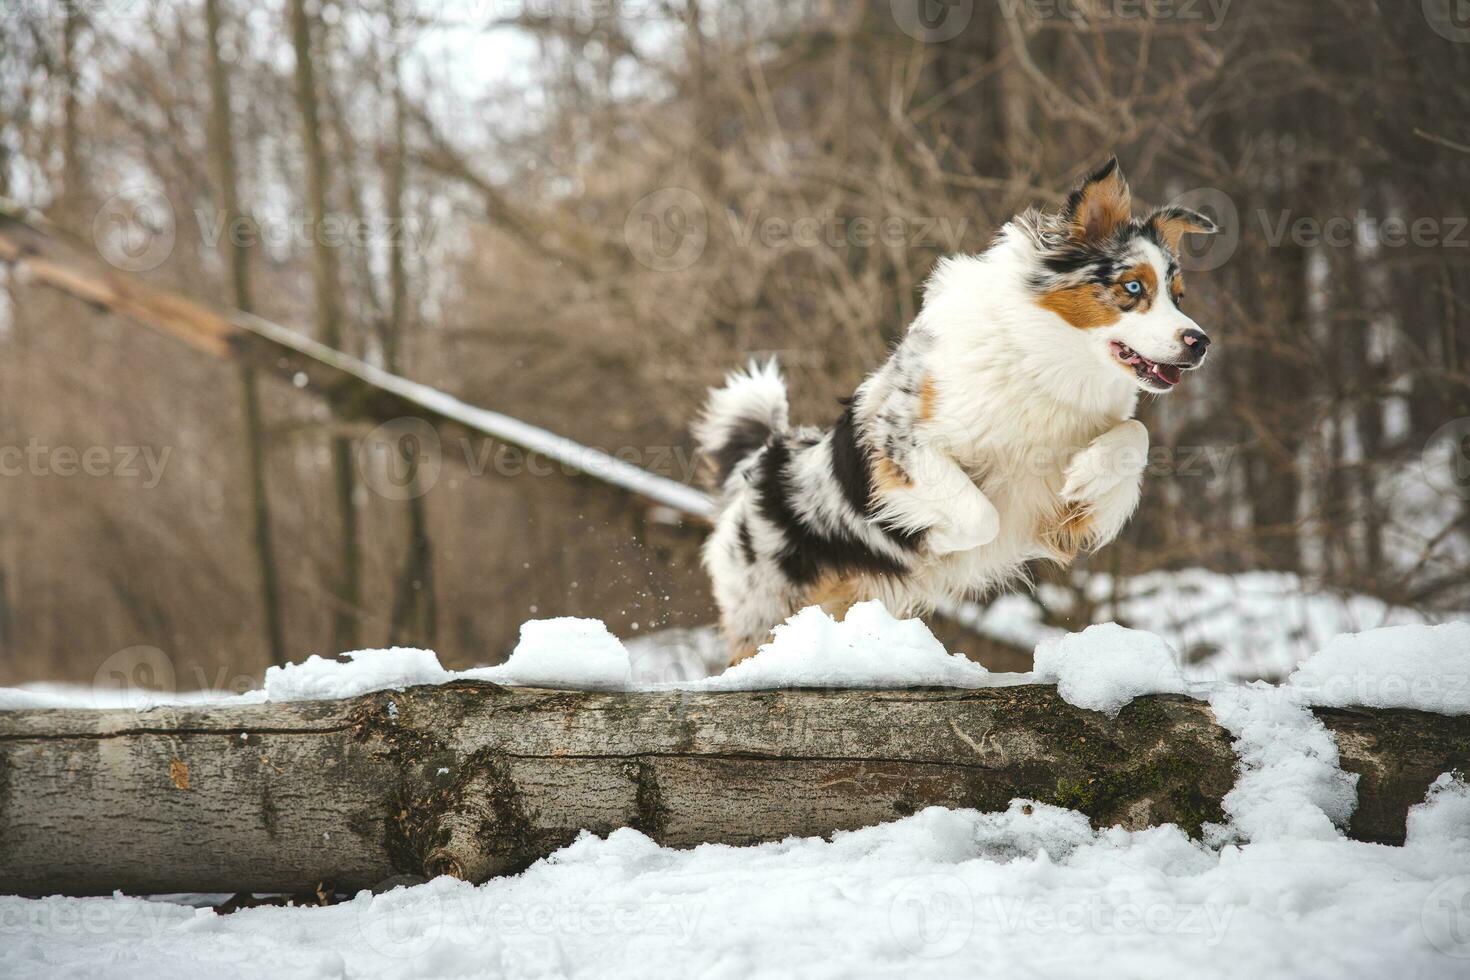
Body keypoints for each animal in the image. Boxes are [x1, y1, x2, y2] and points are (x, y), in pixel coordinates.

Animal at [696, 160, 1217, 664]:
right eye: (1133, 286)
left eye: (1179, 296)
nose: (1200, 342)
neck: (1045, 364)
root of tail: (758, 465)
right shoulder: (902, 444)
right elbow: (981, 516)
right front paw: (937, 543)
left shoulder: (1066, 522)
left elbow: (1134, 437)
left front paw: (1086, 473)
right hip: (766, 609)